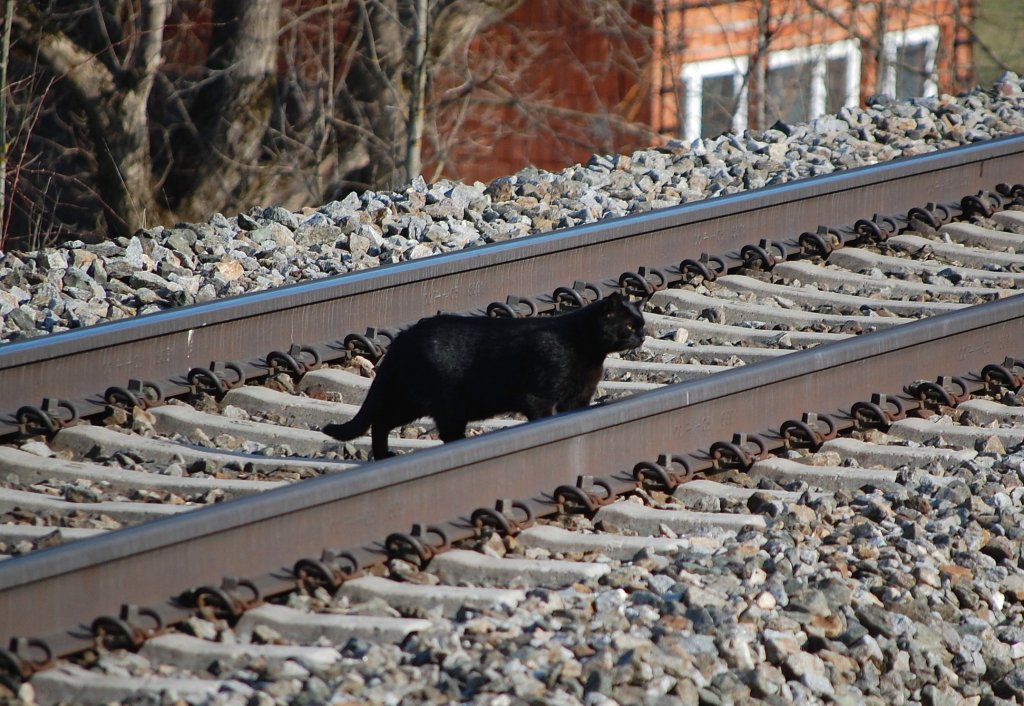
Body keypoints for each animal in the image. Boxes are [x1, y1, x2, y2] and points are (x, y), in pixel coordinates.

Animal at [319, 291, 643, 457]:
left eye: (640, 324)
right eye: (629, 326)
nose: (642, 335)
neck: (587, 350)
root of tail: (402, 338)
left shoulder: (577, 400)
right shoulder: (538, 397)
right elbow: (542, 417)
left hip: (411, 400)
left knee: (382, 421)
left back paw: (385, 456)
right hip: (442, 404)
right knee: (437, 432)